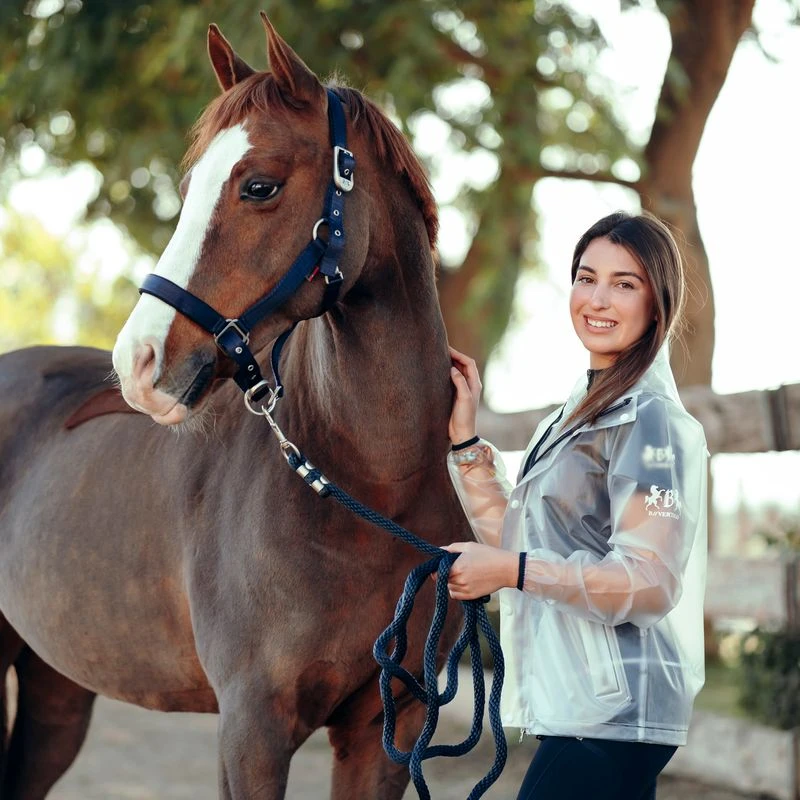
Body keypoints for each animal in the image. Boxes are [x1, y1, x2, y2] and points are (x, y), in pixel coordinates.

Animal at [0, 14, 469, 799]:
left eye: (259, 186)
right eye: (189, 186)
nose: (138, 362)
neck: (375, 490)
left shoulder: (387, 732)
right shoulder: (251, 729)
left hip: (54, 683)